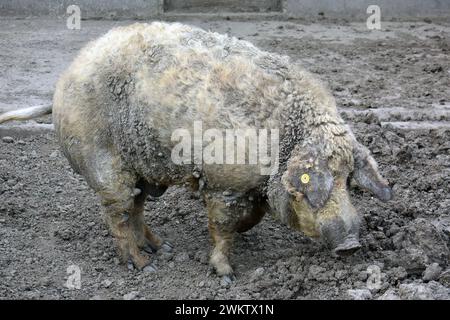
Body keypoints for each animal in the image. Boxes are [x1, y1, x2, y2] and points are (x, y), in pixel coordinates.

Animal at [0, 22, 392, 282]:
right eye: (316, 182)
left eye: (348, 180)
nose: (351, 245)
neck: (283, 141)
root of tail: (60, 85)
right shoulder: (223, 183)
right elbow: (222, 227)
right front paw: (227, 275)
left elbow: (250, 218)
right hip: (105, 165)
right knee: (117, 214)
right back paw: (144, 266)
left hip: (137, 168)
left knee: (136, 208)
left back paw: (163, 248)